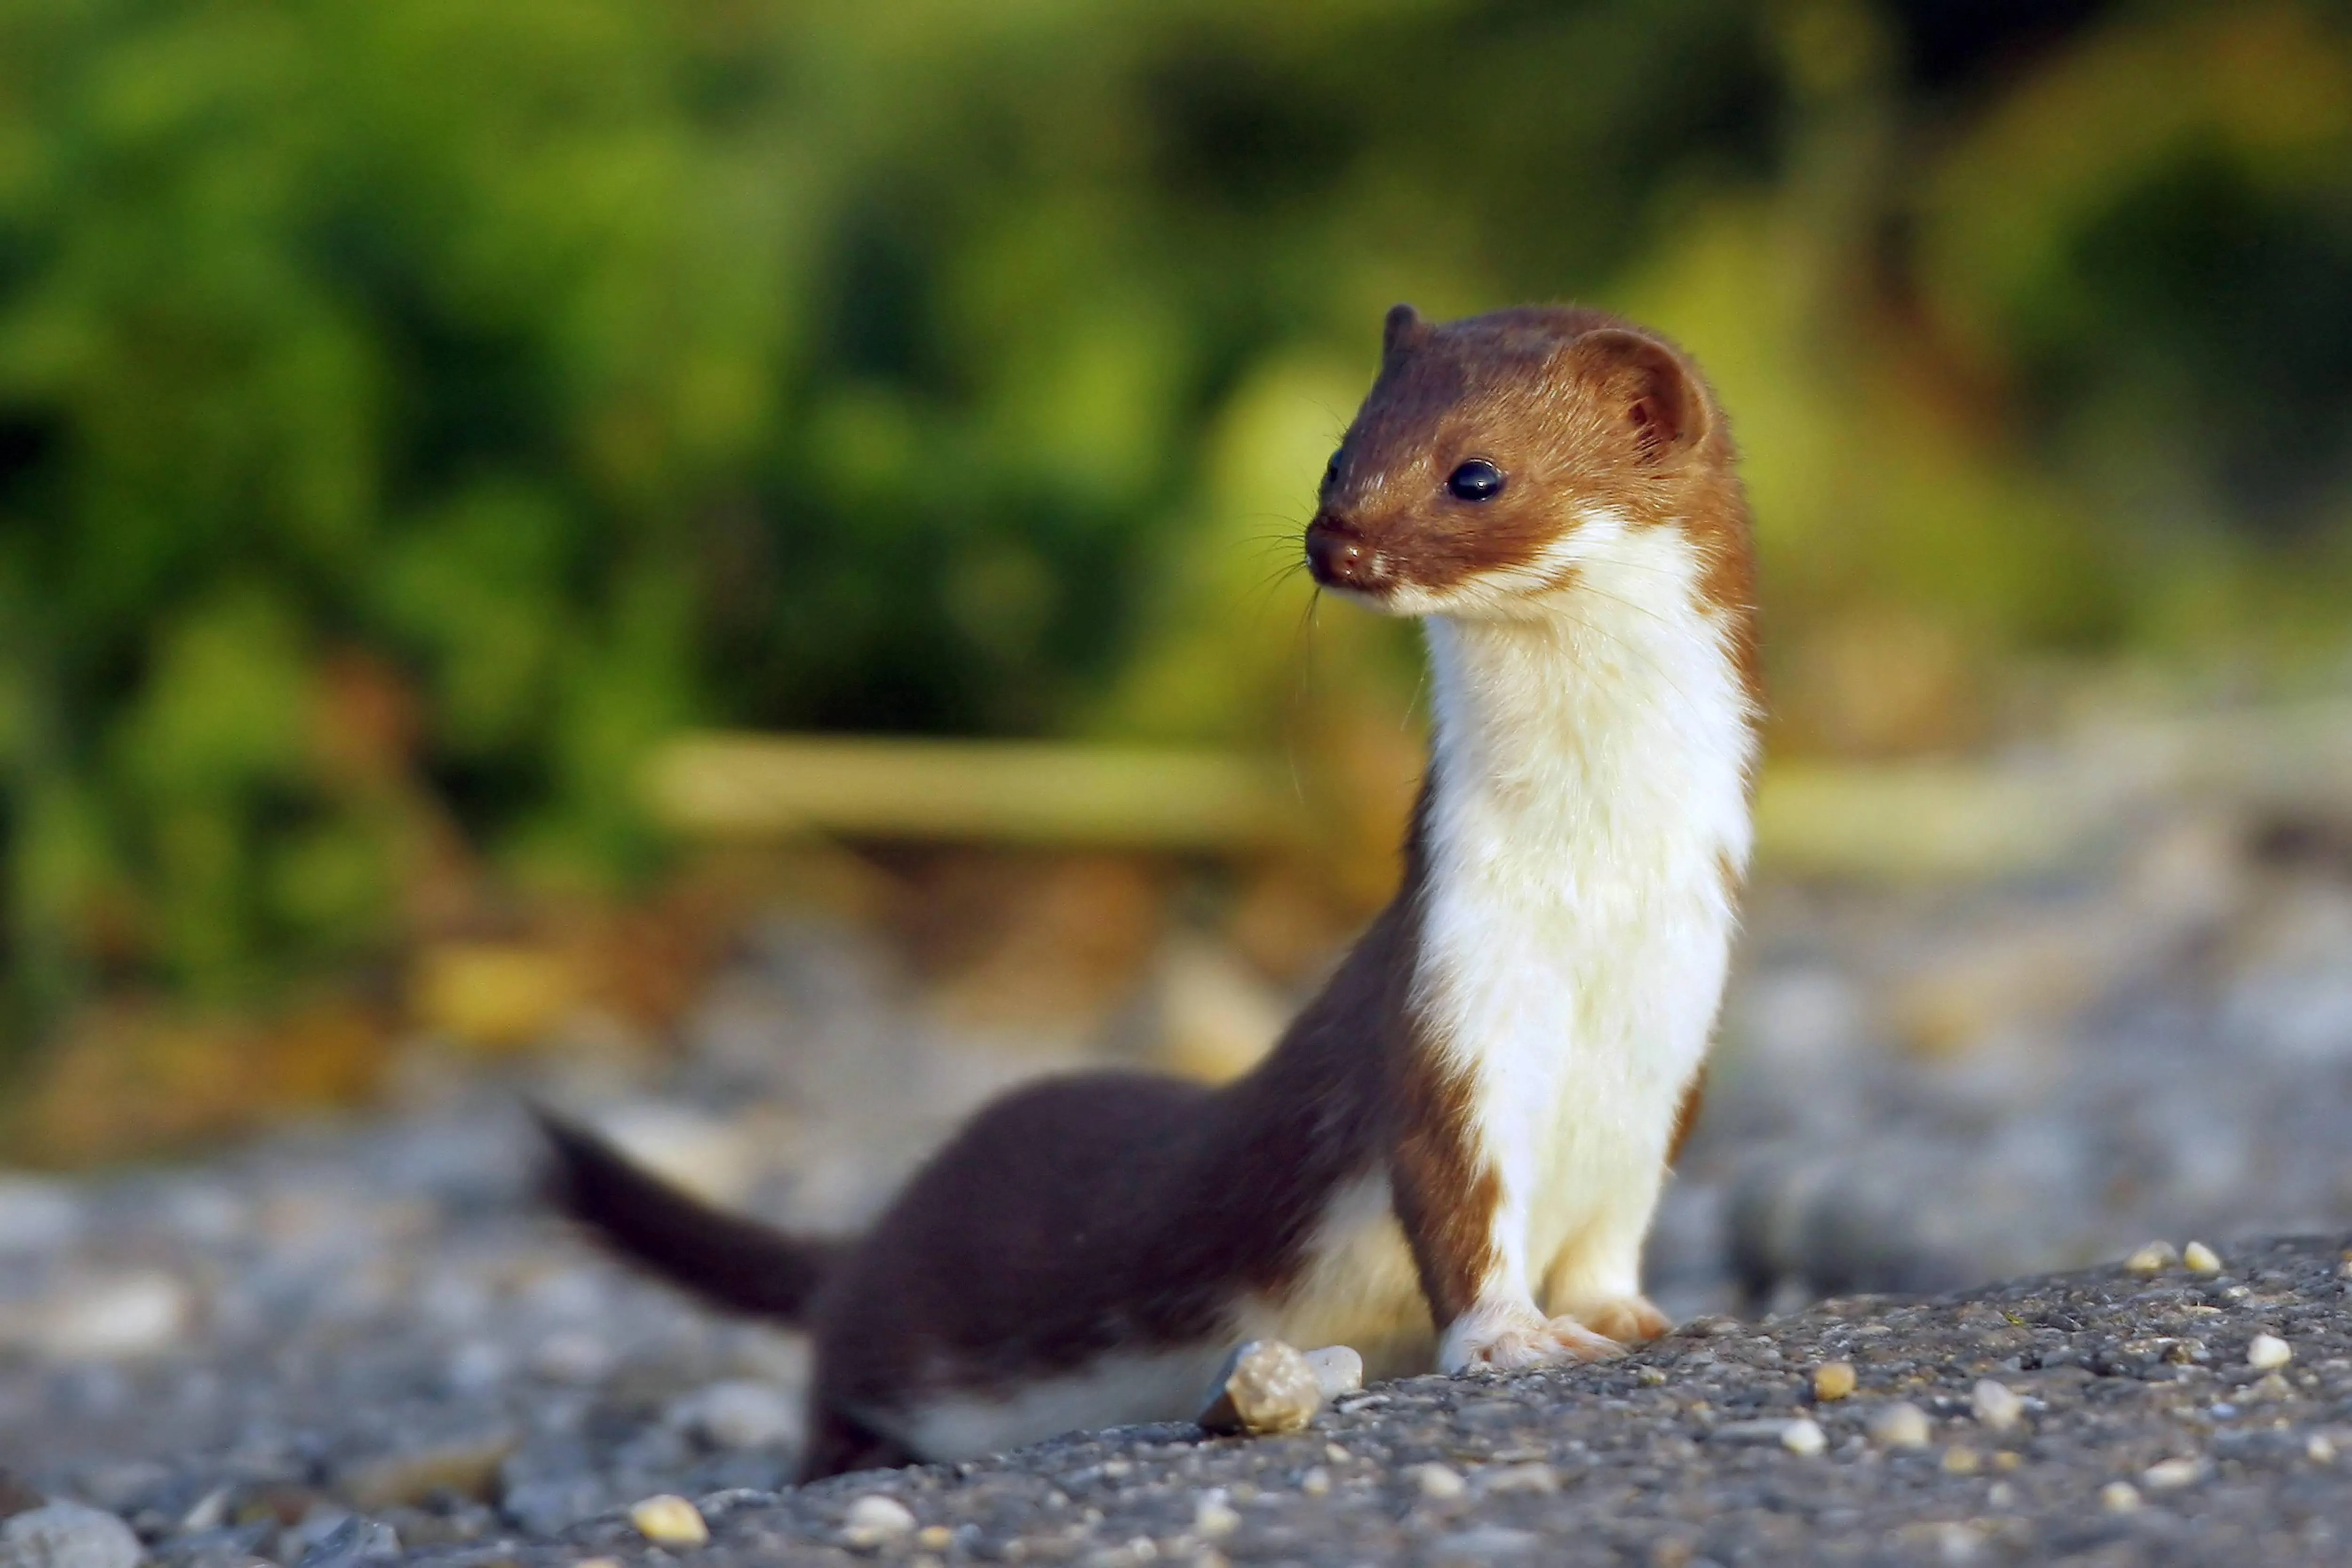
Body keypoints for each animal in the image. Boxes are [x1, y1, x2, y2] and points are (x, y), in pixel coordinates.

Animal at [550, 303, 1759, 1486]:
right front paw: (1516, 1338)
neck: (1597, 897)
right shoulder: (1446, 993)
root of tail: (875, 1236)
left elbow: (1619, 1218)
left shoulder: (1682, 1025)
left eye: (1475, 472)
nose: (1335, 541)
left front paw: (1631, 1314)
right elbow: (1455, 1199)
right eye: (1340, 451)